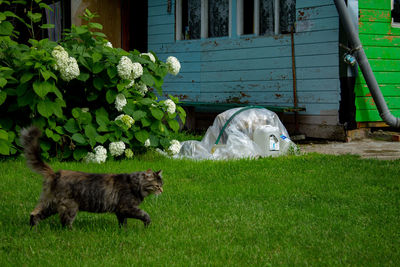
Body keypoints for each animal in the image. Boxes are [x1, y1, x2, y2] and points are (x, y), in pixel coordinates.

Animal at [19, 126, 164, 229]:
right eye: (157, 185)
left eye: (162, 185)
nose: (162, 191)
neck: (135, 184)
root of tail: (56, 174)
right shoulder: (126, 207)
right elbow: (145, 215)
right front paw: (147, 225)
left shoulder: (120, 211)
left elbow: (123, 222)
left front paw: (123, 231)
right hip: (69, 206)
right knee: (65, 222)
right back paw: (72, 232)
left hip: (51, 203)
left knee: (34, 214)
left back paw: (33, 229)